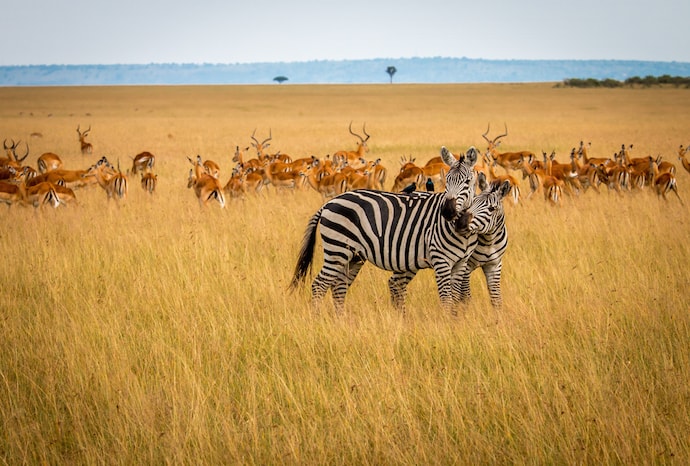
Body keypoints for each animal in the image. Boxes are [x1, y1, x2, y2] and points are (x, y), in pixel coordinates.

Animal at [288, 146, 482, 314]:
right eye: (447, 180)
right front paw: (447, 323)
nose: (447, 211)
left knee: (339, 287)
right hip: (337, 250)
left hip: (354, 255)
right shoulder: (441, 260)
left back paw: (341, 321)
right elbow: (447, 299)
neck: (462, 233)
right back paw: (318, 318)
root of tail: (329, 203)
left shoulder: (460, 263)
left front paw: (456, 321)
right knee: (319, 285)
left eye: (467, 182)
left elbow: (455, 297)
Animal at [456, 173, 510, 308]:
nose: (460, 223)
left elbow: (496, 299)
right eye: (473, 202)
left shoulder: (494, 266)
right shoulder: (466, 266)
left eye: (491, 209)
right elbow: (466, 297)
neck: (489, 241)